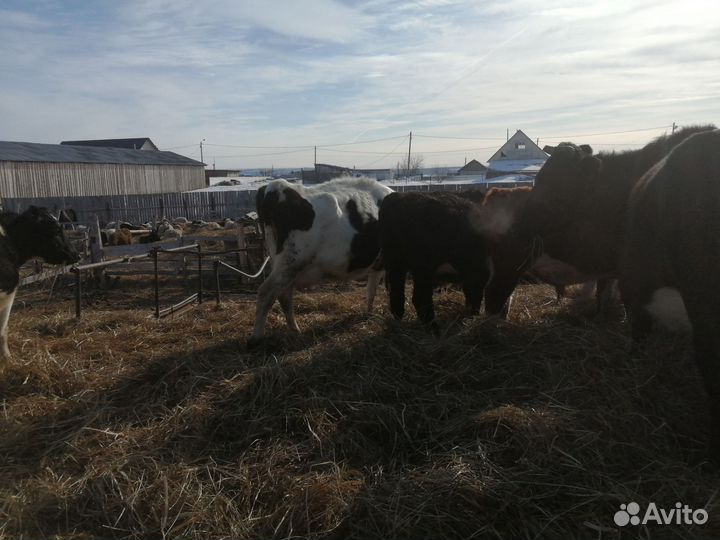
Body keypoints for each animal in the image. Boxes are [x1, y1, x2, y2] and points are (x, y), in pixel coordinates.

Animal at [249, 176, 392, 346]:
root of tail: (274, 186)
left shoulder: (378, 266)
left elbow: (371, 290)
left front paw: (369, 313)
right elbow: (380, 290)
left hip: (284, 266)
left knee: (284, 296)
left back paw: (295, 329)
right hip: (290, 263)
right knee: (266, 293)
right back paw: (257, 337)